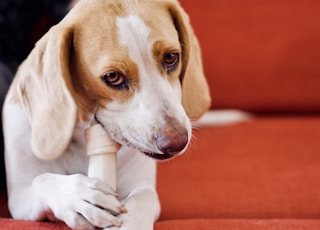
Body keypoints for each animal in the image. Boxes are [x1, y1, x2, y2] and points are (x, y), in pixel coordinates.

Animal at [3, 0, 212, 228]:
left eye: (171, 57)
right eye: (112, 77)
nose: (177, 142)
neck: (81, 140)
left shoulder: (140, 185)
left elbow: (144, 197)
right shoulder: (20, 198)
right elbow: (41, 180)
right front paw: (77, 196)